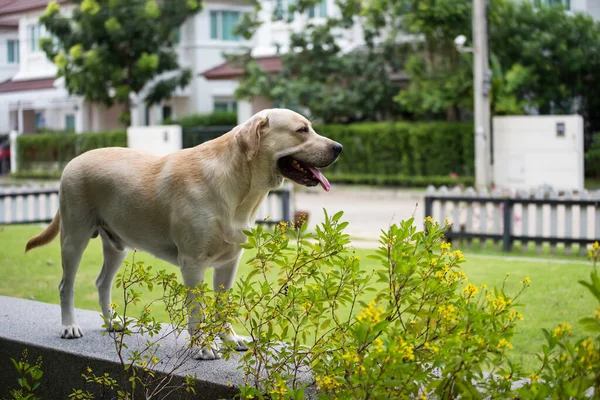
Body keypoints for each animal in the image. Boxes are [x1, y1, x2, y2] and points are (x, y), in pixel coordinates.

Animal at [25, 108, 342, 360]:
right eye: (302, 130)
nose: (339, 147)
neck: (238, 186)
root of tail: (72, 161)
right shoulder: (193, 263)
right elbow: (197, 311)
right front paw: (203, 346)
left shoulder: (229, 262)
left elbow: (223, 306)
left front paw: (229, 338)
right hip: (74, 238)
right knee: (66, 286)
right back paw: (69, 325)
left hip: (116, 245)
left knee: (102, 282)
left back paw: (112, 321)